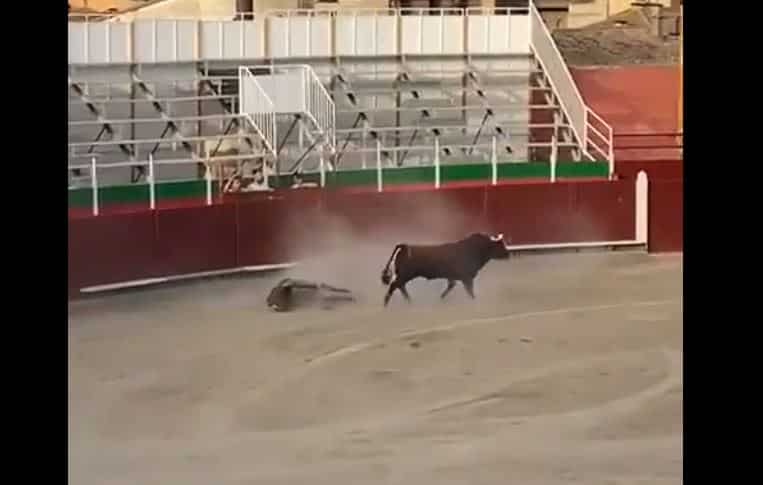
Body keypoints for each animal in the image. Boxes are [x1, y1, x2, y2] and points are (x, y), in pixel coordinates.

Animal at [380, 232, 510, 306]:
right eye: (500, 246)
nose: (508, 254)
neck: (476, 249)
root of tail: (404, 246)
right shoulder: (467, 278)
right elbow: (470, 291)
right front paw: (474, 302)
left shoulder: (453, 277)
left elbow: (451, 286)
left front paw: (441, 299)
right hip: (406, 274)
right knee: (395, 285)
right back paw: (386, 305)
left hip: (405, 275)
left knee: (400, 286)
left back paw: (409, 302)